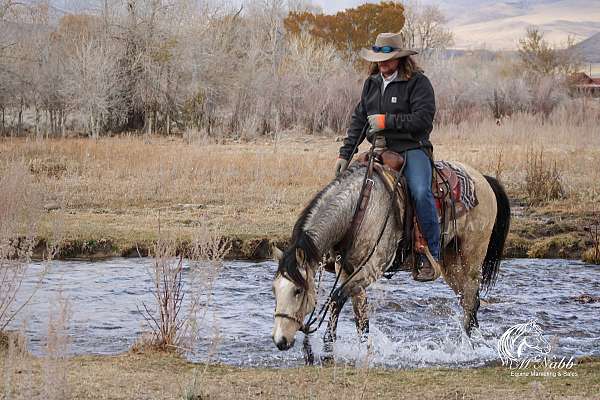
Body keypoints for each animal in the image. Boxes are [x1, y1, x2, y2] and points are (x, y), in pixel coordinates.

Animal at [272, 151, 510, 362]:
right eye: (275, 290)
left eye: (298, 290)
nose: (280, 341)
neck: (358, 209)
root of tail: (483, 179)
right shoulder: (348, 270)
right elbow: (360, 315)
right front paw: (365, 351)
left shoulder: (372, 268)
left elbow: (336, 300)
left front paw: (325, 350)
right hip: (451, 263)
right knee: (468, 301)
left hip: (471, 258)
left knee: (471, 302)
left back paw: (468, 348)